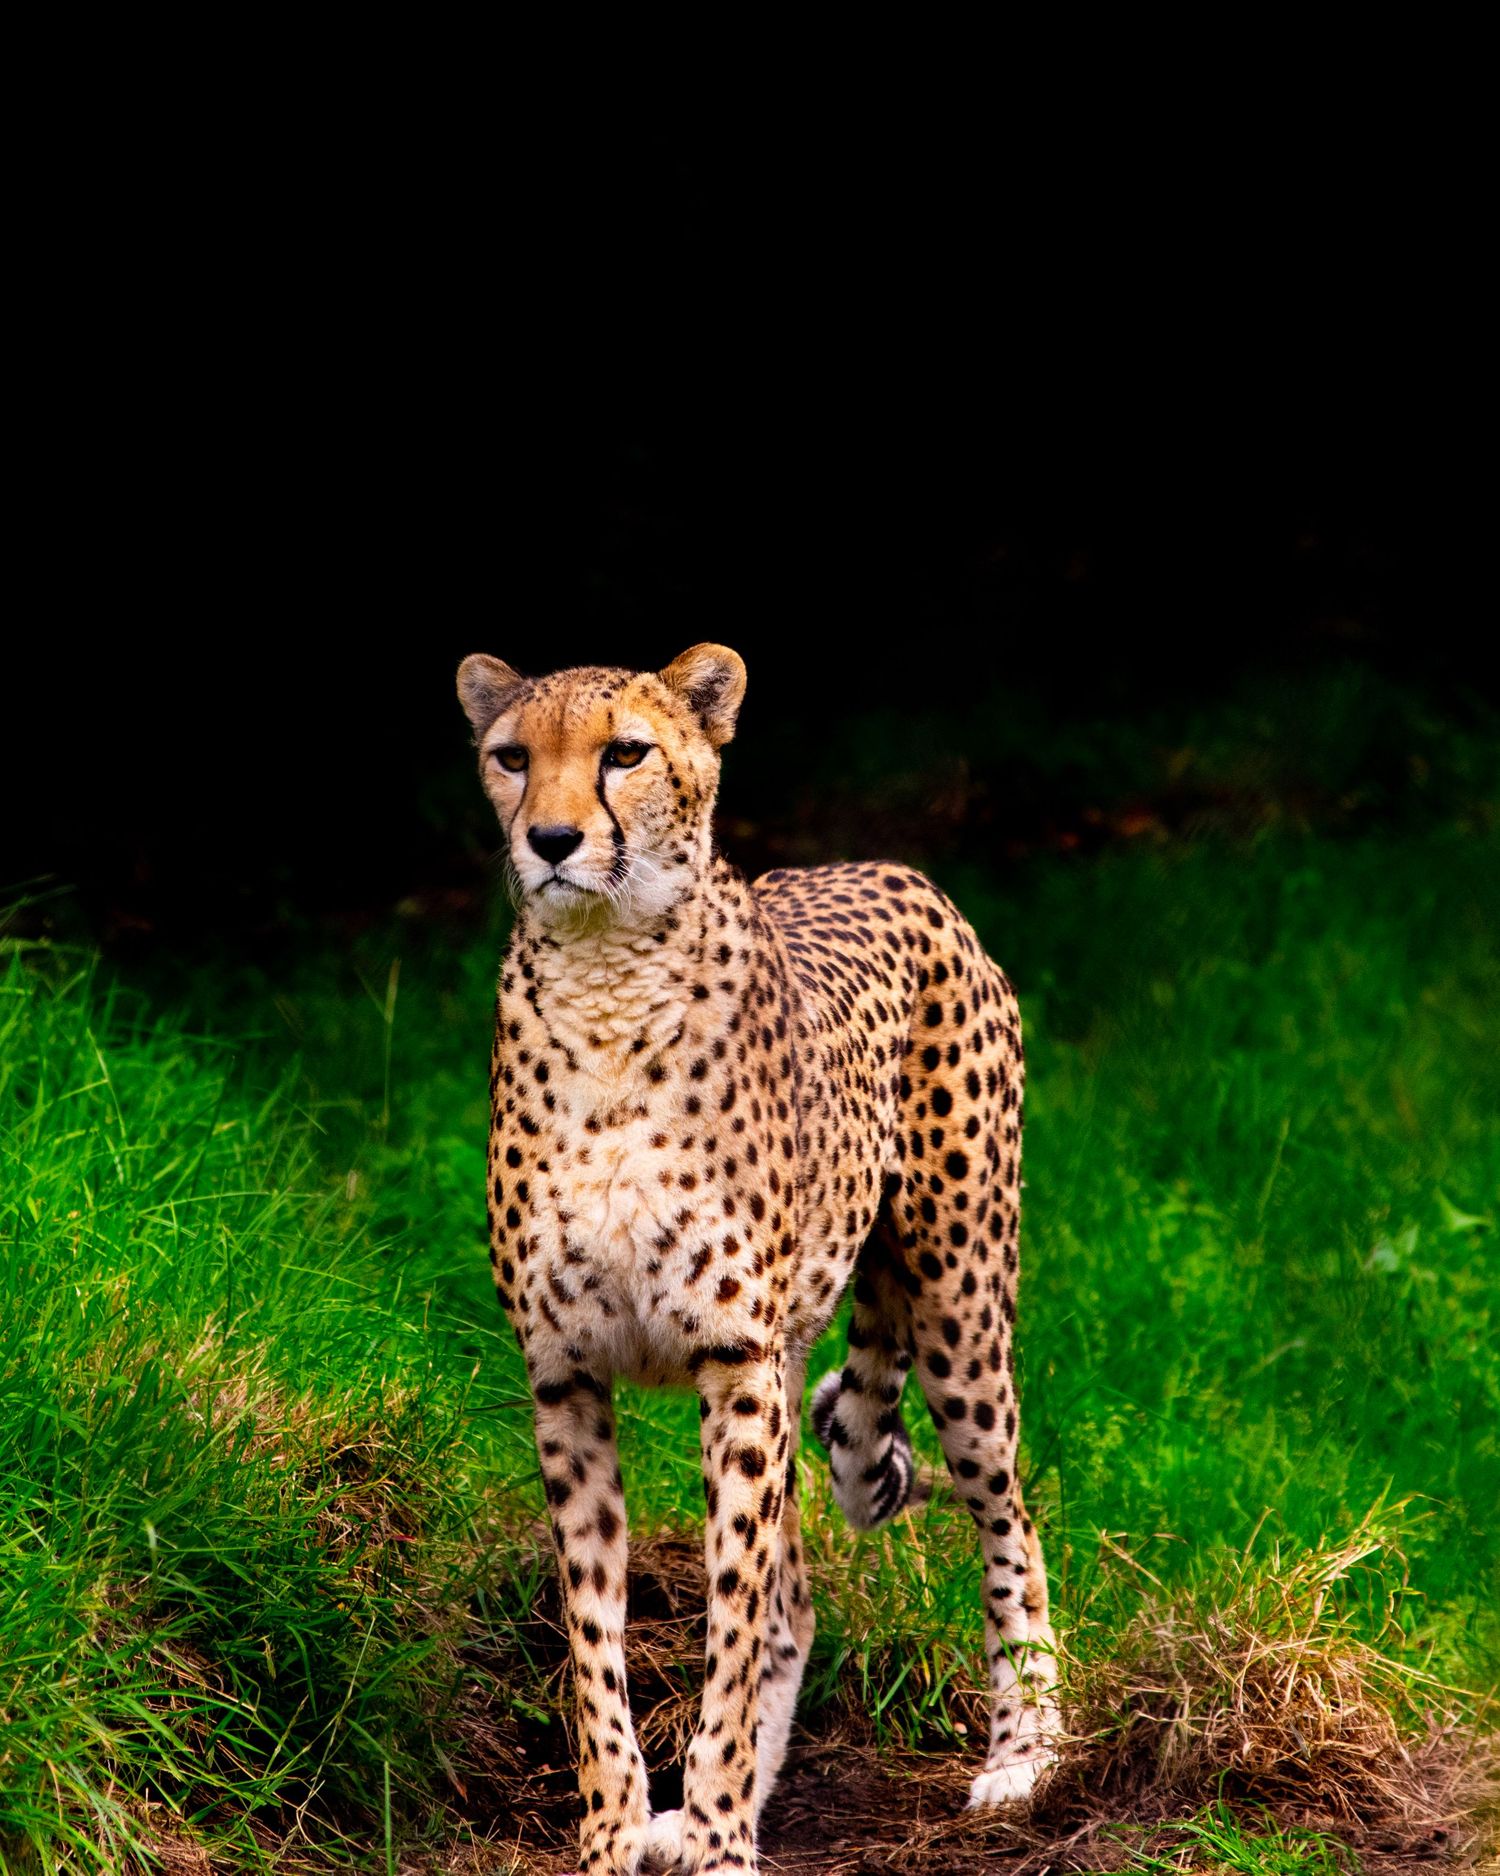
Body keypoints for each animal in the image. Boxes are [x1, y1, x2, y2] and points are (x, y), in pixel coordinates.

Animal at [456, 643, 1059, 1875]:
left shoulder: (731, 1360)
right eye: (510, 756)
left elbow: (729, 1612)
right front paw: (619, 1825)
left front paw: (726, 1828)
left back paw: (1025, 1750)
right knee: (798, 1600)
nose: (551, 840)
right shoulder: (566, 1374)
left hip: (958, 1309)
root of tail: (890, 867)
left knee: (1008, 1514)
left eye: (624, 752)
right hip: (799, 1352)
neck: (605, 979)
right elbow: (597, 1626)